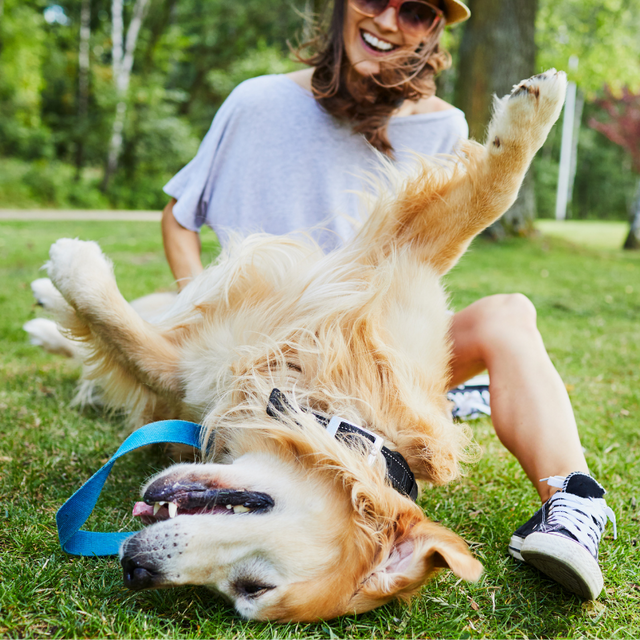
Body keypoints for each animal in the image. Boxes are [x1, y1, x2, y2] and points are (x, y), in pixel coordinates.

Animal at [42, 70, 564, 620]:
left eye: (249, 588)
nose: (134, 569)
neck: (328, 405)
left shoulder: (187, 374)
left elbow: (130, 345)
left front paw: (73, 267)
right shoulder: (394, 266)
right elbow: (488, 200)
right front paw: (535, 110)